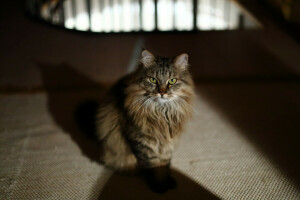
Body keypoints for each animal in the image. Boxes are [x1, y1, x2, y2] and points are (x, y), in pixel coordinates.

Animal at [95, 49, 195, 192]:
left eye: (172, 81)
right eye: (153, 80)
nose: (162, 93)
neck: (161, 112)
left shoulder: (167, 141)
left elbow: (164, 163)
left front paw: (168, 181)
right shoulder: (142, 141)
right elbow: (152, 165)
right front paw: (159, 186)